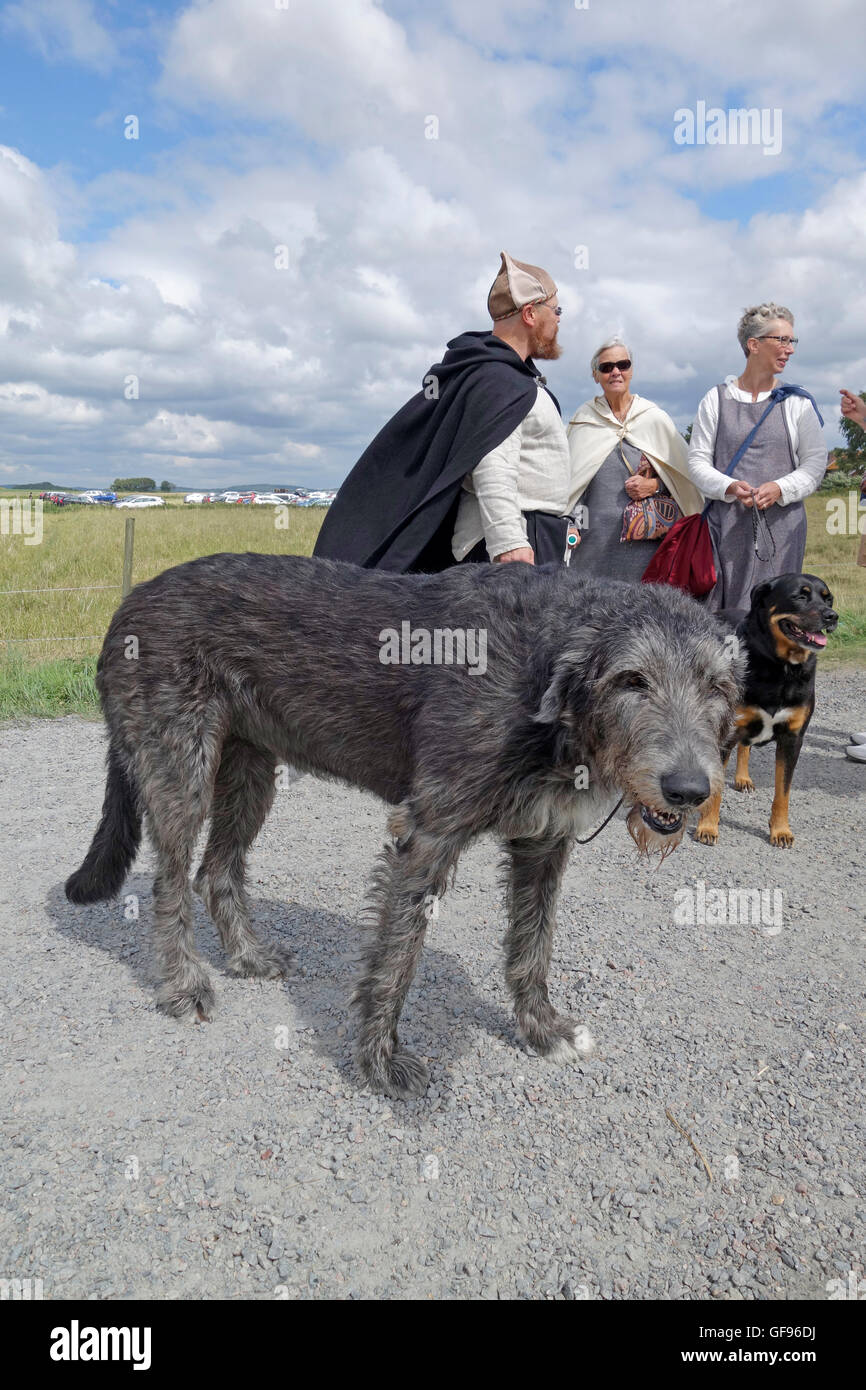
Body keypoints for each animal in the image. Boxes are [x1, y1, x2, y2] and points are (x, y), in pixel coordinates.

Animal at [67, 553, 745, 1095]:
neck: (542, 672)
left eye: (718, 687)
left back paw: (249, 957)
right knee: (170, 880)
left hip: (251, 767)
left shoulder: (544, 840)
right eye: (633, 679)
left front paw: (542, 1028)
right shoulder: (428, 830)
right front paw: (380, 1062)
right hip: (180, 763)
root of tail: (131, 599)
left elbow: (535, 942)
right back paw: (184, 986)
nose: (689, 789)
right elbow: (398, 955)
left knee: (216, 870)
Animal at [697, 572, 834, 845]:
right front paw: (707, 826)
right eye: (800, 596)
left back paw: (742, 778)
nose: (832, 616)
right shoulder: (727, 730)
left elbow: (783, 792)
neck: (781, 668)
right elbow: (716, 789)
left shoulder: (793, 738)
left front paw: (780, 830)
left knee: (745, 747)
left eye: (828, 598)